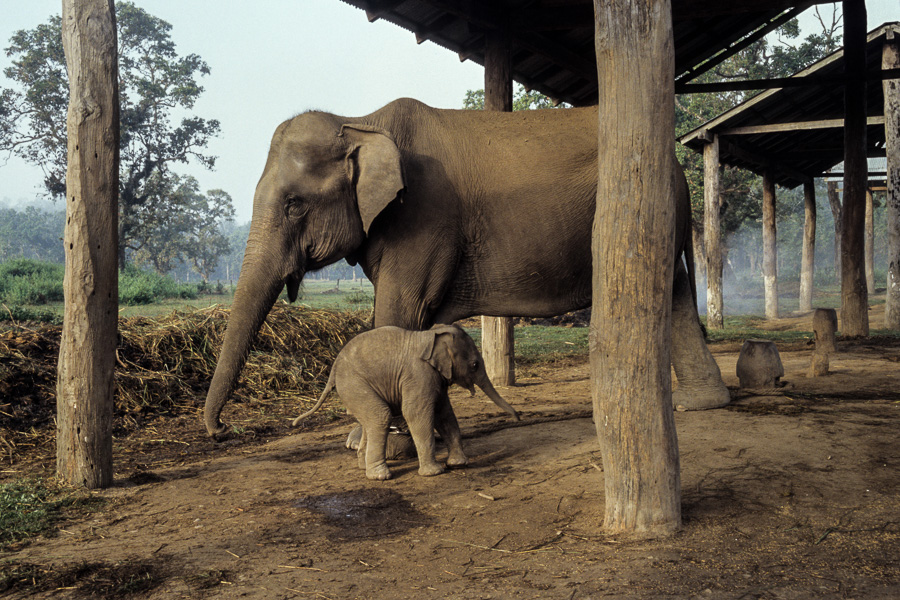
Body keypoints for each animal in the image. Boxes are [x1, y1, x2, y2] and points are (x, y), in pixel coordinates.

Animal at [204, 98, 732, 436]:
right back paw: (703, 403)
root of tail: (676, 160)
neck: (359, 122)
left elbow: (399, 311)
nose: (223, 430)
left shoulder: (425, 216)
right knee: (676, 291)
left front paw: (372, 439)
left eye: (294, 205)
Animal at [296, 326, 520, 480]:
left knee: (371, 420)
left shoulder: (435, 377)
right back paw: (381, 476)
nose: (518, 418)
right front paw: (435, 472)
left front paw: (458, 464)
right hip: (354, 385)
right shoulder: (419, 374)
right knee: (380, 415)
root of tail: (333, 368)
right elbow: (417, 413)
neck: (432, 334)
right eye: (474, 365)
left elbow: (444, 414)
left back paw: (365, 467)